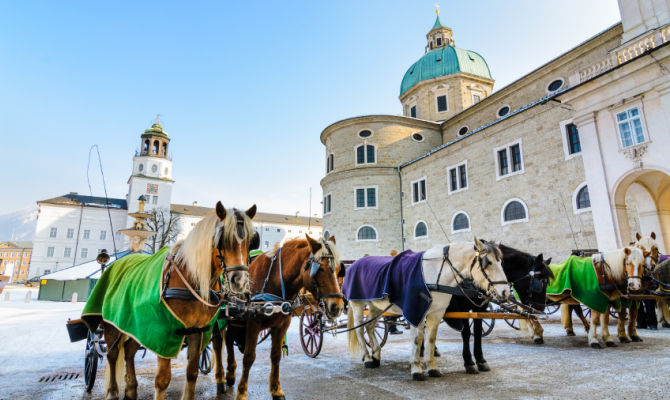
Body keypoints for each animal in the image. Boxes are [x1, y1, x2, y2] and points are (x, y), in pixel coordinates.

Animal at [79, 203, 258, 400]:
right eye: (222, 239)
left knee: (128, 350)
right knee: (112, 355)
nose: (240, 281)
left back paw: (131, 389)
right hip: (112, 323)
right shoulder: (164, 333)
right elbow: (163, 380)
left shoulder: (198, 331)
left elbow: (192, 373)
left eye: (250, 241)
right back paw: (112, 392)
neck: (190, 279)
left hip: (135, 325)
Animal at [215, 234, 346, 400]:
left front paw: (276, 390)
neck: (273, 280)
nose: (337, 306)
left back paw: (231, 373)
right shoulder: (253, 323)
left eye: (338, 269)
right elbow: (249, 357)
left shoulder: (282, 324)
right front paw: (242, 392)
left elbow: (275, 356)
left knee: (229, 339)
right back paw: (221, 379)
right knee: (219, 343)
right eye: (321, 269)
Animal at [346, 238, 510, 382]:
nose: (505, 291)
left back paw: (376, 355)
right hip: (357, 304)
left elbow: (431, 339)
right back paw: (368, 358)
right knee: (360, 329)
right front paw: (416, 369)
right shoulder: (416, 311)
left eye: (501, 261)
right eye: (488, 262)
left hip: (375, 306)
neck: (434, 273)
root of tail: (355, 263)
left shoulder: (436, 314)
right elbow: (417, 340)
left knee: (369, 326)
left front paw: (432, 368)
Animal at [446, 242, 556, 374]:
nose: (540, 308)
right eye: (541, 281)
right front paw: (469, 362)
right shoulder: (463, 308)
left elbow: (477, 332)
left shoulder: (480, 308)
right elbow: (466, 333)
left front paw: (481, 360)